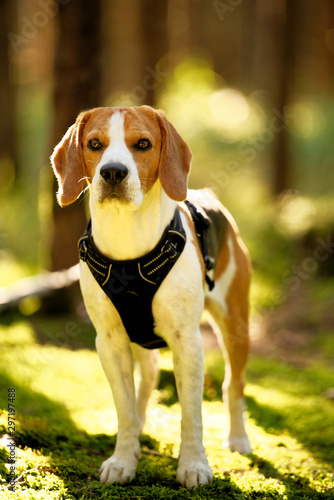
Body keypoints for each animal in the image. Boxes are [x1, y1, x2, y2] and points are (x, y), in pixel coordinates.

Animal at [51, 106, 252, 488]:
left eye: (142, 144)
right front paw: (123, 460)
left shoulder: (188, 342)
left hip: (235, 326)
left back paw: (238, 438)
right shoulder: (109, 342)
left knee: (232, 384)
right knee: (147, 379)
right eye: (94, 144)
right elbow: (125, 408)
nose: (113, 172)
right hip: (139, 338)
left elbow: (191, 414)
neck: (127, 240)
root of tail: (209, 196)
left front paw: (194, 464)